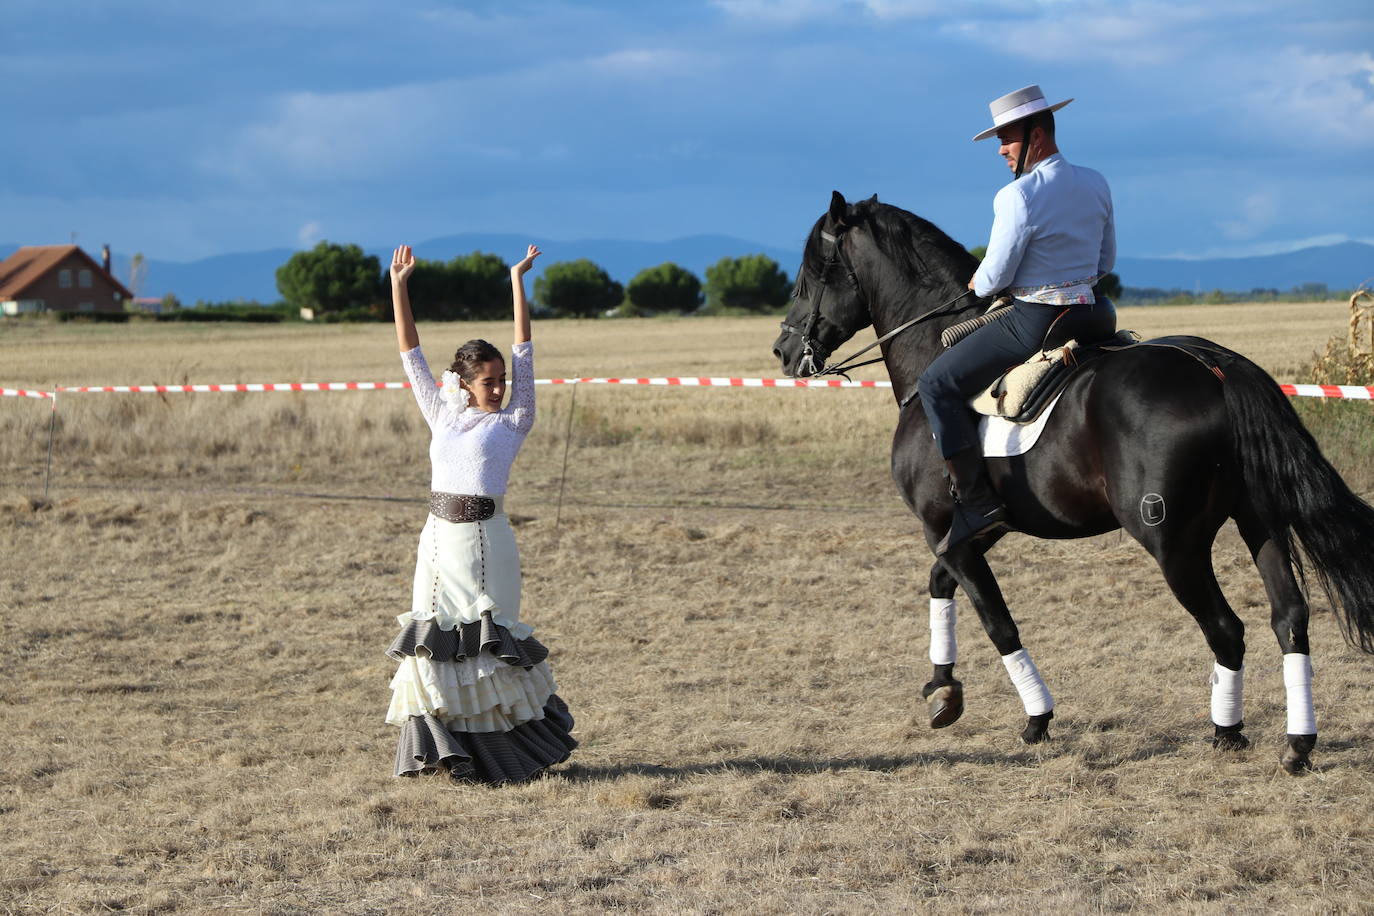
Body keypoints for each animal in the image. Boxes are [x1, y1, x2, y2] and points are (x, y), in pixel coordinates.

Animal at [780, 192, 1374, 774]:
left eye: (811, 272)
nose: (783, 352)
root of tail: (1214, 367)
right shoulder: (975, 532)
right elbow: (940, 585)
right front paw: (943, 689)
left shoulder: (944, 529)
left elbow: (997, 621)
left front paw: (1036, 718)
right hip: (1259, 522)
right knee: (1289, 618)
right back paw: (1297, 744)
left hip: (1174, 544)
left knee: (1227, 629)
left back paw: (1226, 733)